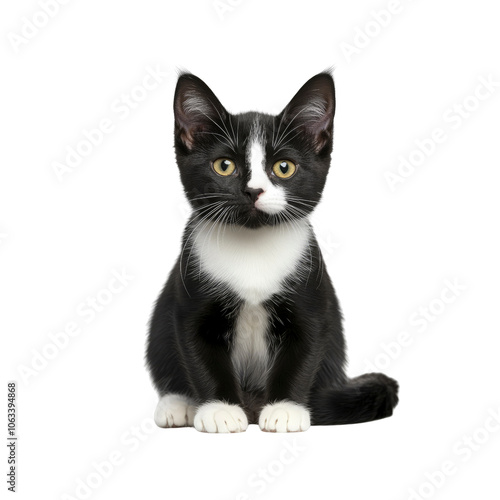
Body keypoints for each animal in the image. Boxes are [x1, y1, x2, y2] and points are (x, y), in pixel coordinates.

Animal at [146, 71, 398, 434]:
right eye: (224, 166)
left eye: (283, 167)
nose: (253, 190)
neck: (253, 243)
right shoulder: (191, 293)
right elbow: (198, 352)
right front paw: (220, 409)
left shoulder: (311, 295)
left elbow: (303, 352)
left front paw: (285, 410)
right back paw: (177, 404)